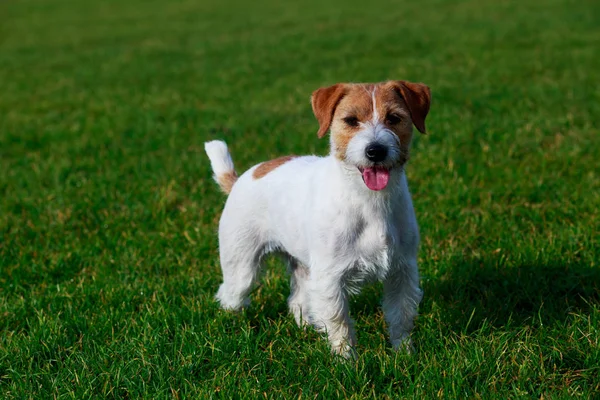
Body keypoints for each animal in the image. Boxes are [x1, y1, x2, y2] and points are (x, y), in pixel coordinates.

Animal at [206, 80, 432, 356]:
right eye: (351, 120)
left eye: (394, 118)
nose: (375, 150)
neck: (368, 200)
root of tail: (240, 179)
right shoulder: (330, 277)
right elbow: (339, 321)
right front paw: (346, 359)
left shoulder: (402, 271)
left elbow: (401, 316)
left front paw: (404, 354)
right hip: (242, 265)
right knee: (231, 295)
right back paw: (232, 327)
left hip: (303, 266)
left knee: (297, 301)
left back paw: (307, 328)